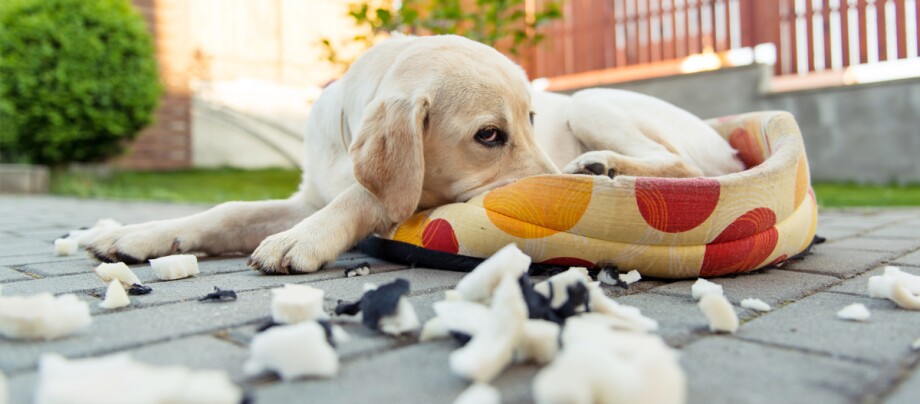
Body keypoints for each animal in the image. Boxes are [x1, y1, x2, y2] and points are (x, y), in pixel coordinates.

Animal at [90, 35, 744, 274]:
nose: (556, 184)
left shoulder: (410, 196)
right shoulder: (307, 193)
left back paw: (600, 165)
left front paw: (302, 239)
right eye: (490, 135)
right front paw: (138, 233)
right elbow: (226, 211)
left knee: (681, 166)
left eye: (532, 119)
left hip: (593, 102)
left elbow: (361, 195)